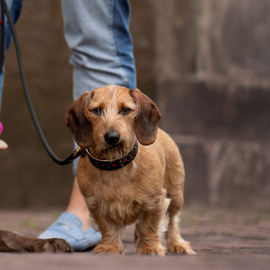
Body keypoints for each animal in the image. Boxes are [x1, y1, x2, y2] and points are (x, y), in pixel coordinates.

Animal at [64, 86, 194, 255]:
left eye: (125, 110)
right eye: (97, 110)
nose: (112, 137)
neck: (115, 164)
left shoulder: (155, 201)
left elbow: (150, 226)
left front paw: (150, 247)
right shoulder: (95, 205)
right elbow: (108, 228)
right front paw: (109, 247)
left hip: (175, 194)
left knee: (172, 221)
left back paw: (177, 244)